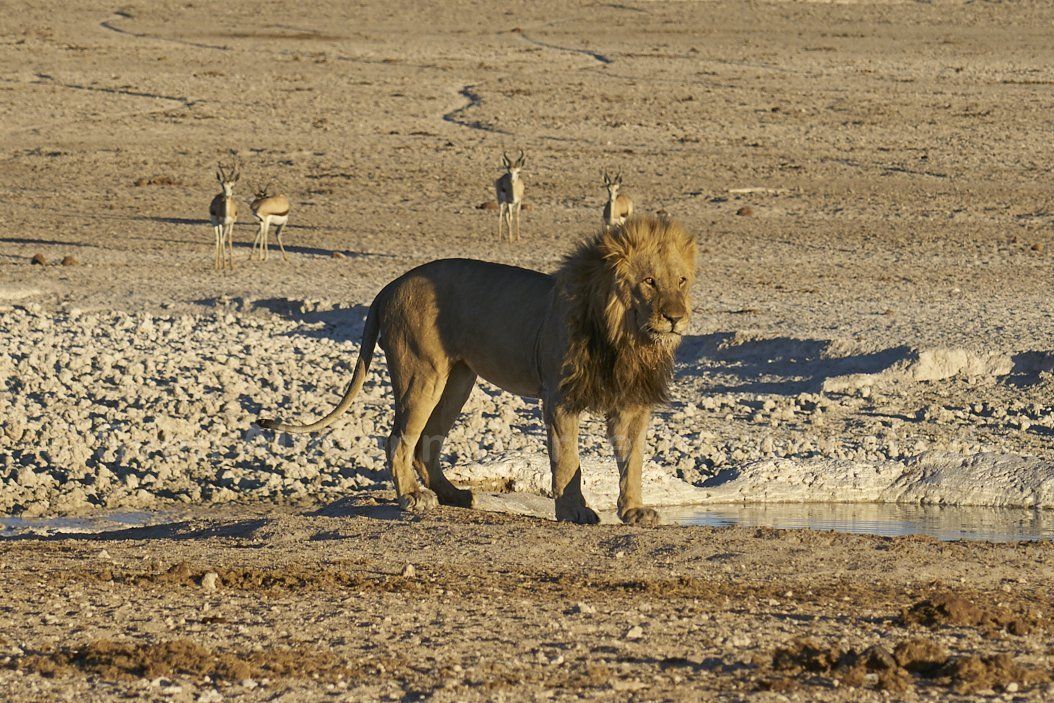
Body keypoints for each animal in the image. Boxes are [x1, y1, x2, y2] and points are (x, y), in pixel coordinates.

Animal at [257, 214, 696, 525]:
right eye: (649, 281)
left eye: (681, 280)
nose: (676, 318)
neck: (628, 338)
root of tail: (392, 284)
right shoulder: (560, 396)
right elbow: (568, 459)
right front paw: (575, 511)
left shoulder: (631, 402)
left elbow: (632, 461)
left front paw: (634, 511)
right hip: (421, 372)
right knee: (397, 440)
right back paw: (412, 498)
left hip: (457, 381)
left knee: (426, 442)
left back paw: (455, 495)